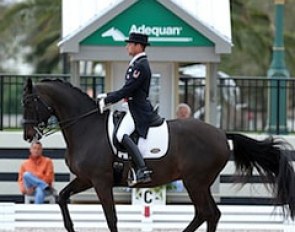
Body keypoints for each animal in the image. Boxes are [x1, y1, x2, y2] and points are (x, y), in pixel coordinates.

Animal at [21, 78, 295, 232]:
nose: (27, 135)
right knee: (209, 214)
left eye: (29, 102)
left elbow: (111, 218)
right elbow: (62, 198)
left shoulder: (100, 181)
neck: (86, 127)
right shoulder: (86, 179)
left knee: (207, 213)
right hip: (200, 183)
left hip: (195, 182)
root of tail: (220, 133)